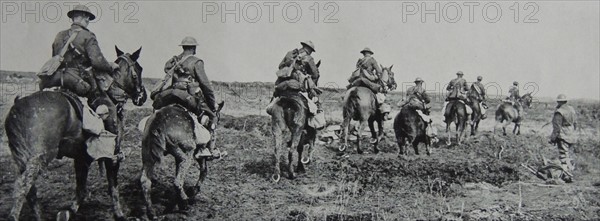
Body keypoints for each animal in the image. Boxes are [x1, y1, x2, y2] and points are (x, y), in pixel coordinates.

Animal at [4, 45, 148, 220]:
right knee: (22, 188)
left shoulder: (81, 156)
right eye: (139, 69)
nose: (143, 96)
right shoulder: (111, 157)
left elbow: (81, 187)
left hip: (22, 159)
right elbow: (112, 186)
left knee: (30, 191)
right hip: (37, 158)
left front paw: (68, 211)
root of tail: (17, 108)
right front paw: (119, 214)